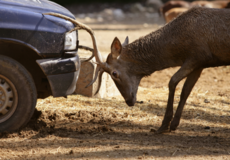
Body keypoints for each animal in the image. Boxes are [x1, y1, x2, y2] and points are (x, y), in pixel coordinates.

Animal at [44, 6, 230, 134]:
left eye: (115, 73)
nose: (128, 101)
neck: (178, 47)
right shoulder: (200, 63)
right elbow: (186, 90)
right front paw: (174, 124)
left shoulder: (197, 55)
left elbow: (172, 82)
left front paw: (163, 125)